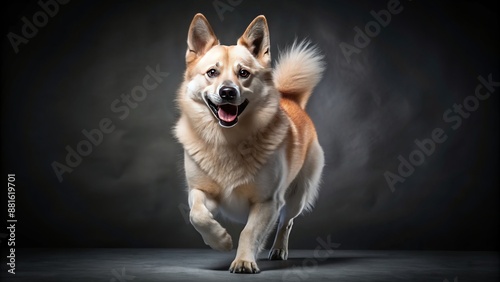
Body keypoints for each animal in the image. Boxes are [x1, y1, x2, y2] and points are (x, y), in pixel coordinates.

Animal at [174, 13, 326, 274]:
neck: (228, 140)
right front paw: (221, 241)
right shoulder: (201, 192)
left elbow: (249, 231)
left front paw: (244, 260)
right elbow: (197, 215)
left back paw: (279, 250)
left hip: (297, 196)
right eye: (212, 72)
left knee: (286, 222)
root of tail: (291, 99)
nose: (227, 92)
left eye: (243, 73)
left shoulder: (267, 201)